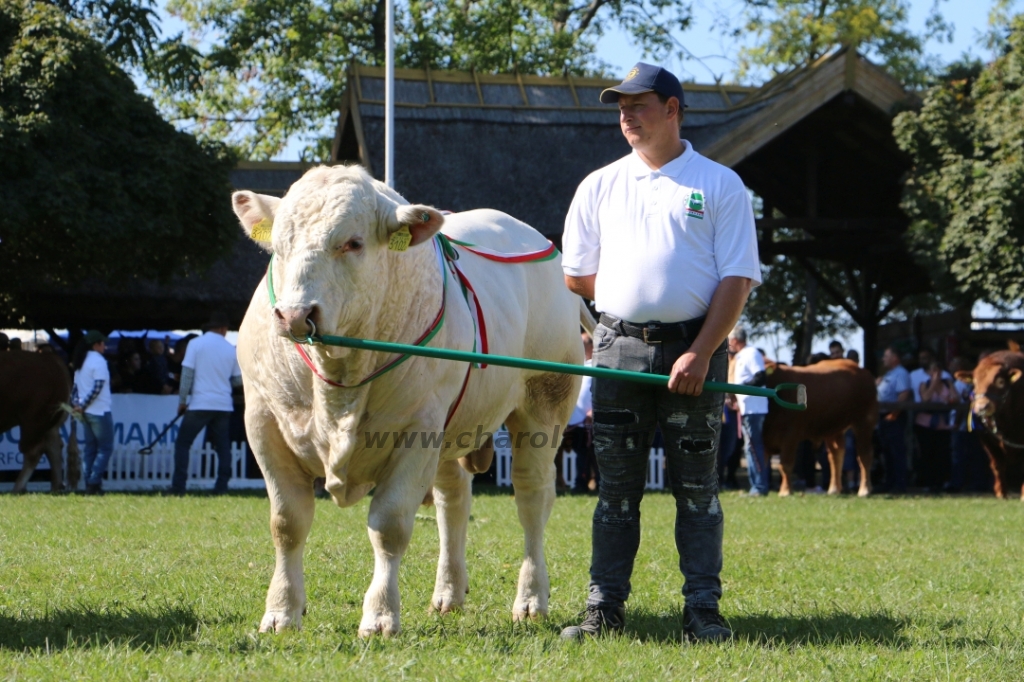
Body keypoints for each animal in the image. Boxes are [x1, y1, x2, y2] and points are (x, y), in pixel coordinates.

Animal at [0, 350, 79, 489]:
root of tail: (50, 358)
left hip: (33, 421)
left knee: (34, 451)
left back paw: (18, 488)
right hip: (48, 423)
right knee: (54, 447)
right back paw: (56, 487)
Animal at [232, 163, 593, 630]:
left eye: (353, 243)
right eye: (277, 246)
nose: (294, 315)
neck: (340, 378)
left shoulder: (415, 431)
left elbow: (390, 525)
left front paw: (381, 614)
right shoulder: (263, 422)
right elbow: (287, 522)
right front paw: (281, 611)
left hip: (542, 405)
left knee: (532, 497)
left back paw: (531, 599)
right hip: (450, 429)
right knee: (452, 499)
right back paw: (448, 592)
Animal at [761, 358, 880, 497]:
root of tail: (860, 369)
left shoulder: (790, 435)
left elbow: (785, 464)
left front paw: (785, 491)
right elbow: (762, 464)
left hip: (864, 423)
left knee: (864, 455)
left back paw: (864, 489)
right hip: (834, 428)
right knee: (836, 455)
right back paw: (834, 489)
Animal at [958, 350, 1024, 499]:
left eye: (1000, 382)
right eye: (975, 382)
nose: (982, 407)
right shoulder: (986, 439)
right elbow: (997, 464)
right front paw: (1001, 493)